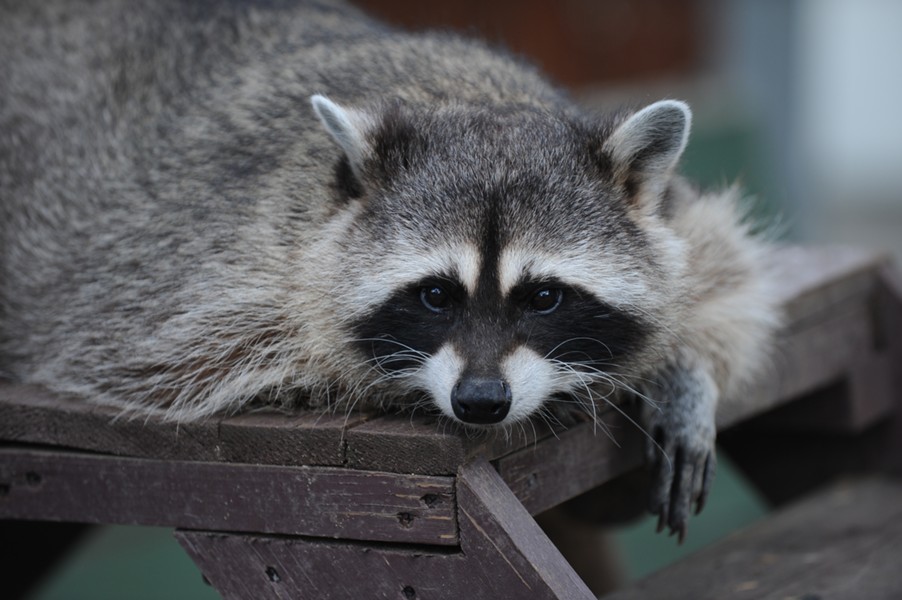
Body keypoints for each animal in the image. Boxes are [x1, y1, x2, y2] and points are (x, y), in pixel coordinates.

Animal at [0, 0, 776, 536]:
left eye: (544, 297)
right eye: (435, 295)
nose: (481, 401)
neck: (470, 100)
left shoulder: (677, 225)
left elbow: (724, 281)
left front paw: (681, 370)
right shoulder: (192, 279)